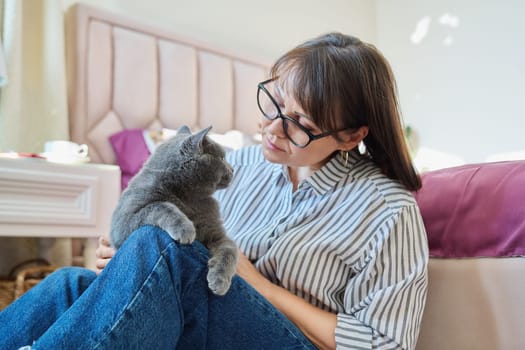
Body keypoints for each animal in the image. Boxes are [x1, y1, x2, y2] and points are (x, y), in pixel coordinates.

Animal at [110, 126, 237, 296]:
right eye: (222, 158)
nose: (233, 169)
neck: (189, 198)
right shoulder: (122, 223)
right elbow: (160, 205)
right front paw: (185, 229)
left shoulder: (217, 234)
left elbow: (229, 251)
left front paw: (220, 280)